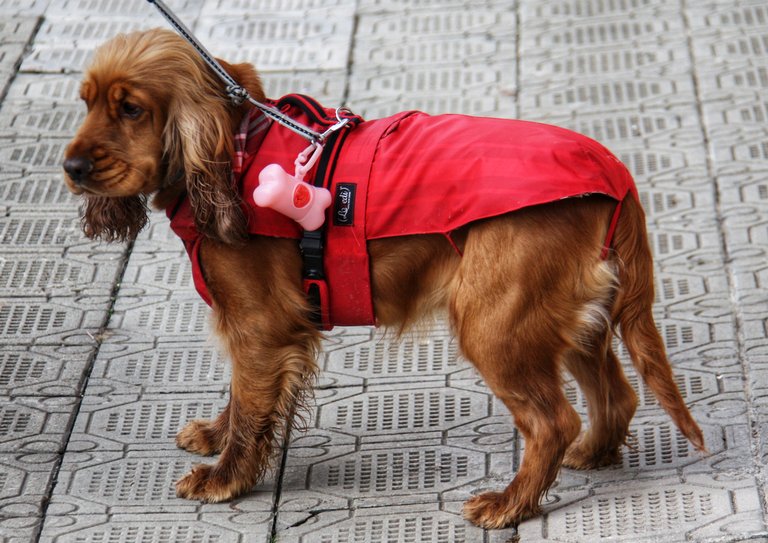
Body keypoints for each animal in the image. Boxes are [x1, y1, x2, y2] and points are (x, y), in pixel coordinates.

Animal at [63, 27, 704, 528]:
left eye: (131, 108)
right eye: (86, 102)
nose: (69, 167)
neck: (237, 149)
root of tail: (614, 172)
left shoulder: (261, 327)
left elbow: (251, 405)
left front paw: (225, 477)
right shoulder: (258, 334)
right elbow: (244, 398)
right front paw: (216, 438)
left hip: (493, 323)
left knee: (554, 421)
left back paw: (510, 504)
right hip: (569, 317)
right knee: (617, 397)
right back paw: (592, 456)